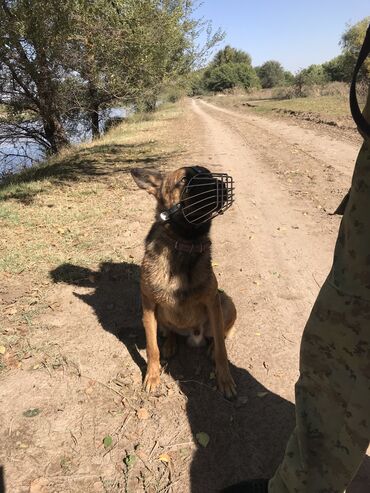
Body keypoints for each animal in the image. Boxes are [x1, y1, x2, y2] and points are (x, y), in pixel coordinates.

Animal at [131, 164, 237, 396]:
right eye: (182, 181)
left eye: (208, 173)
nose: (220, 184)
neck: (185, 244)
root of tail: (193, 333)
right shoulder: (148, 305)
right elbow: (152, 348)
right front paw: (152, 376)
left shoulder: (212, 301)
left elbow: (222, 350)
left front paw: (225, 379)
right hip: (161, 314)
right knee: (169, 331)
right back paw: (170, 343)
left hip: (225, 303)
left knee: (221, 334)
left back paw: (210, 346)